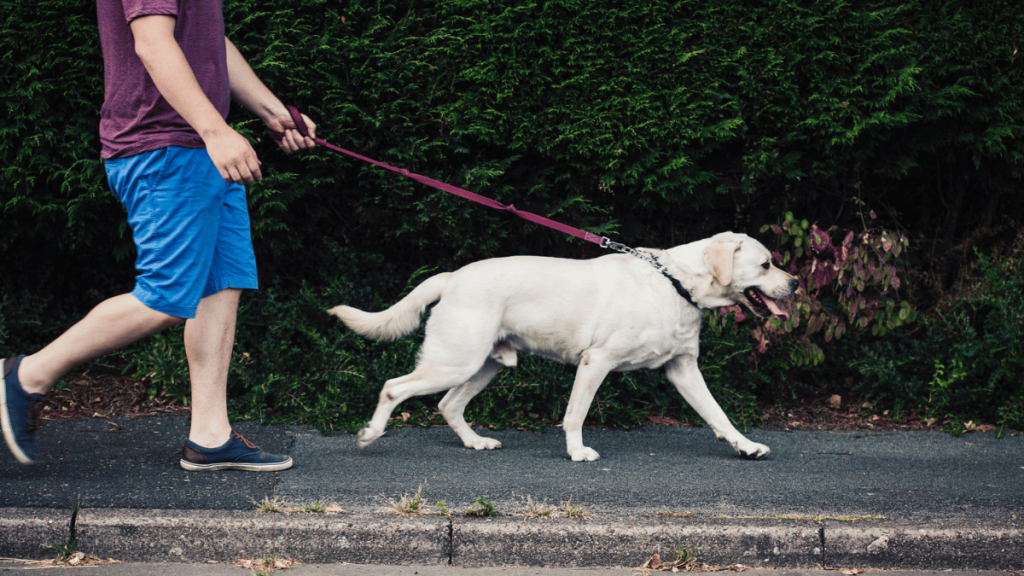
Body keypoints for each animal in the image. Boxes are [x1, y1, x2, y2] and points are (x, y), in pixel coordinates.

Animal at [331, 230, 794, 459]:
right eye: (766, 263)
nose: (794, 283)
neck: (675, 282)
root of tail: (452, 276)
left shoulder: (683, 369)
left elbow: (719, 416)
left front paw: (746, 446)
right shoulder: (596, 362)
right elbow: (575, 415)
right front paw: (576, 452)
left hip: (484, 365)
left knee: (448, 405)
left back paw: (475, 442)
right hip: (455, 361)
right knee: (394, 387)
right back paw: (370, 435)